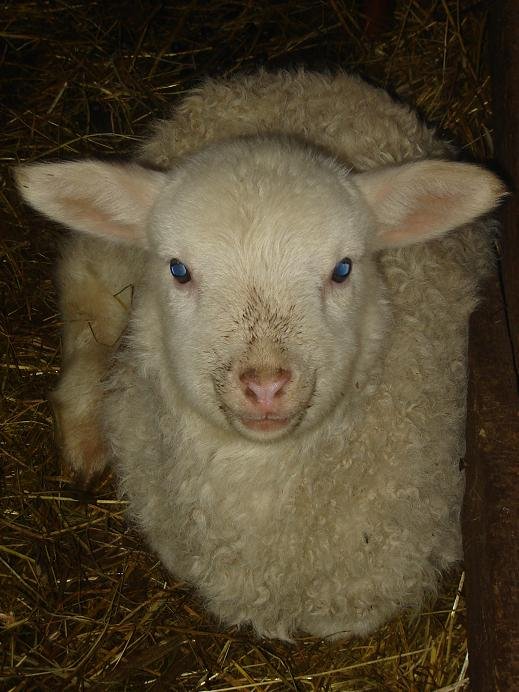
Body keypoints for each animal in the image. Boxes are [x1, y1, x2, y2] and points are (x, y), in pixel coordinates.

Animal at [16, 70, 505, 641]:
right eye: (179, 270)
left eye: (343, 269)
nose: (265, 385)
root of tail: (288, 78)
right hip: (114, 256)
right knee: (86, 292)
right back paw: (84, 435)